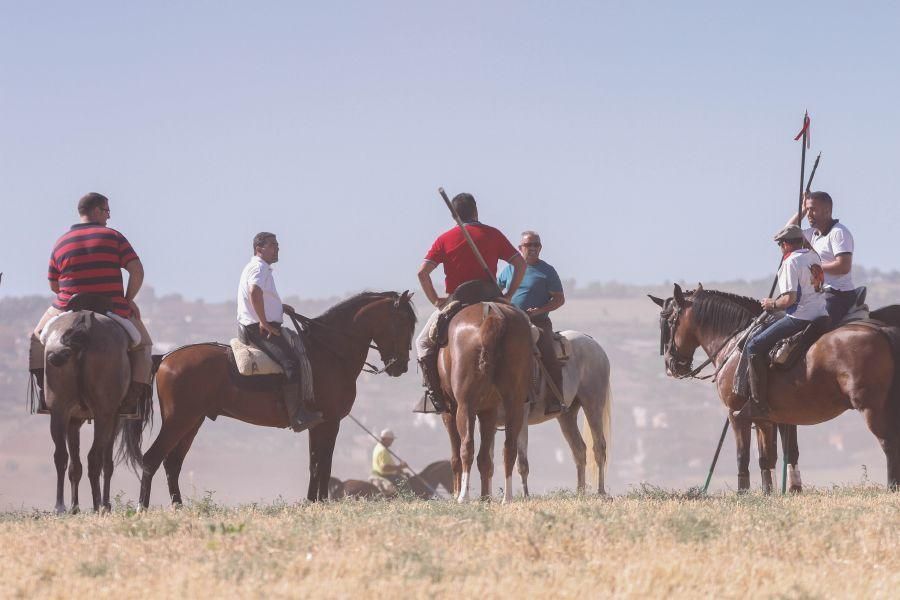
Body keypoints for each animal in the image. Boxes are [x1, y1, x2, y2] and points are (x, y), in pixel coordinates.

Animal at [123, 290, 418, 506]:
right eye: (404, 323)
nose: (401, 366)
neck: (329, 352)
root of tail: (166, 358)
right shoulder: (329, 422)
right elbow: (323, 464)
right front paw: (321, 502)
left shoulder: (319, 424)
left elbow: (316, 463)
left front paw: (313, 502)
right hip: (179, 420)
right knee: (151, 459)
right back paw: (142, 508)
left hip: (192, 421)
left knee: (172, 463)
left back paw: (179, 507)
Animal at [438, 302, 532, 504]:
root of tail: (493, 315)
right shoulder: (489, 411)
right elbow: (486, 459)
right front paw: (485, 497)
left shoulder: (449, 411)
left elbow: (457, 455)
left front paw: (458, 493)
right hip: (514, 403)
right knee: (509, 447)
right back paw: (507, 497)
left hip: (464, 406)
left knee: (466, 447)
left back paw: (463, 497)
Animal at [652, 284, 900, 488]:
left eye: (669, 320)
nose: (671, 365)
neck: (736, 344)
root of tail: (881, 330)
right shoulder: (766, 419)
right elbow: (769, 457)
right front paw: (771, 492)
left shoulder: (736, 414)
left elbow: (743, 456)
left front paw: (744, 493)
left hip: (870, 407)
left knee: (888, 442)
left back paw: (891, 486)